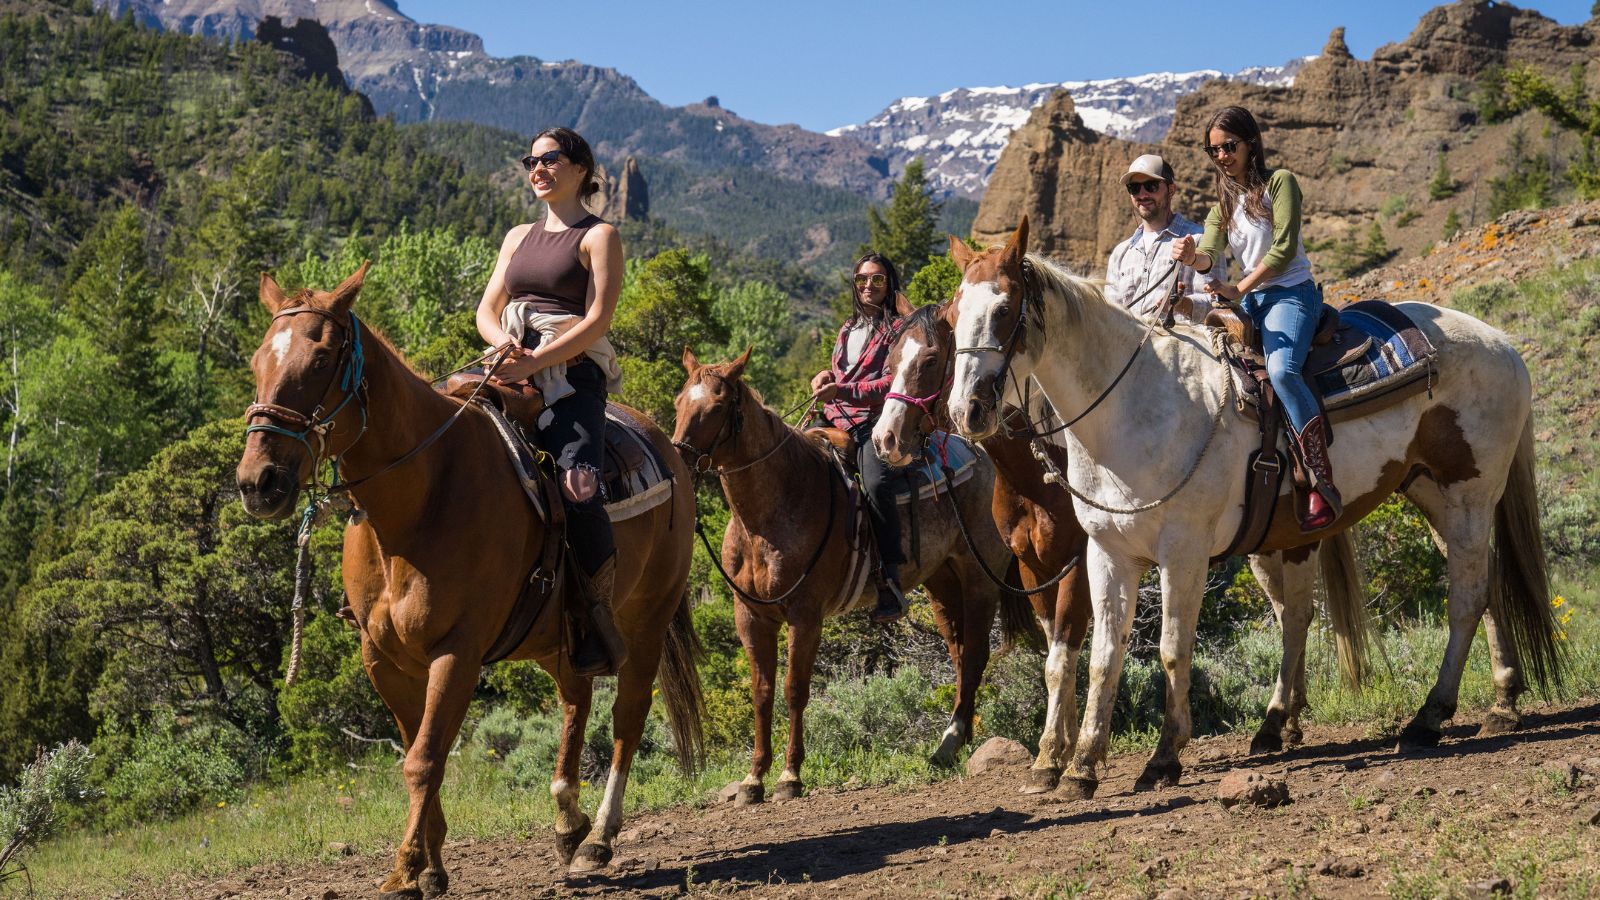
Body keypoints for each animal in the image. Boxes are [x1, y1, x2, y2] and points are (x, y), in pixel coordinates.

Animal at [238, 262, 707, 890]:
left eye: (319, 361)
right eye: (257, 363)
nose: (258, 483)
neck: (417, 500)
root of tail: (668, 446)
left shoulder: (455, 653)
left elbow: (423, 760)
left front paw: (405, 870)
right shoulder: (384, 660)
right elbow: (419, 752)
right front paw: (432, 867)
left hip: (648, 619)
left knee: (626, 717)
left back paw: (599, 838)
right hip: (557, 637)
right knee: (575, 700)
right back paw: (568, 821)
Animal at [668, 347, 1030, 794]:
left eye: (717, 406)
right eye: (679, 403)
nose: (680, 462)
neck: (772, 509)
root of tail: (982, 457)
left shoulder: (805, 616)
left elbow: (794, 689)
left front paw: (790, 774)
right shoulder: (750, 616)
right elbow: (762, 692)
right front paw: (754, 777)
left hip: (979, 576)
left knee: (977, 653)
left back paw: (949, 742)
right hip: (942, 581)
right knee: (960, 655)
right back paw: (957, 740)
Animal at [876, 301, 1376, 784]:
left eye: (931, 359)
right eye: (891, 360)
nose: (886, 439)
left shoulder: (1078, 568)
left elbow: (1068, 653)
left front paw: (1060, 754)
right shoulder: (1035, 571)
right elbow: (1060, 658)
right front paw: (1062, 750)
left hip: (1290, 543)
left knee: (1296, 617)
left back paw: (1275, 723)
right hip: (1268, 546)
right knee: (1293, 614)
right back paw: (1287, 721)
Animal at [940, 220, 1555, 794]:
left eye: (1004, 308)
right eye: (951, 316)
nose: (966, 410)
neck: (1133, 406)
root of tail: (1500, 342)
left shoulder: (1182, 552)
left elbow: (1171, 650)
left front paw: (1164, 758)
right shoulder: (1107, 554)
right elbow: (1103, 656)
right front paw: (1081, 767)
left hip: (1468, 495)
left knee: (1467, 596)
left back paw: (1430, 715)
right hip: (1430, 496)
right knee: (1479, 585)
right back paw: (1500, 702)